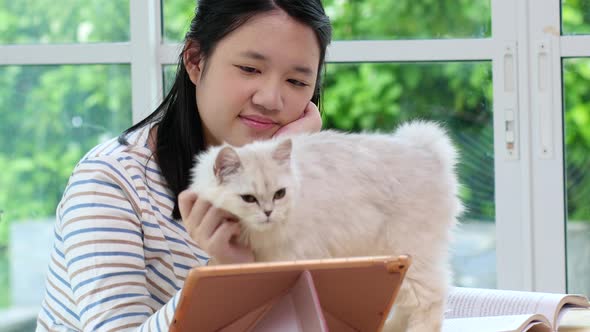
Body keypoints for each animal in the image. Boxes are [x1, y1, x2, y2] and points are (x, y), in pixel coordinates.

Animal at [190, 121, 462, 332]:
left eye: (279, 194)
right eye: (248, 199)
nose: (268, 213)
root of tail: (427, 151)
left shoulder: (291, 256)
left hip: (412, 253)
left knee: (430, 301)